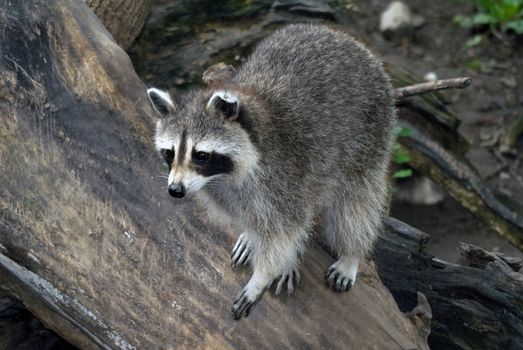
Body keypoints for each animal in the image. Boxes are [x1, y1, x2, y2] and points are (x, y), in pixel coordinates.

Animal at [147, 23, 398, 320]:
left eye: (201, 155)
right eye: (170, 153)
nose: (175, 190)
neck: (222, 177)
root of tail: (346, 38)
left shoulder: (281, 176)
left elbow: (286, 230)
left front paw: (263, 275)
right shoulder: (226, 194)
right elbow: (254, 219)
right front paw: (256, 239)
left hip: (369, 134)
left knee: (355, 204)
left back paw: (352, 253)